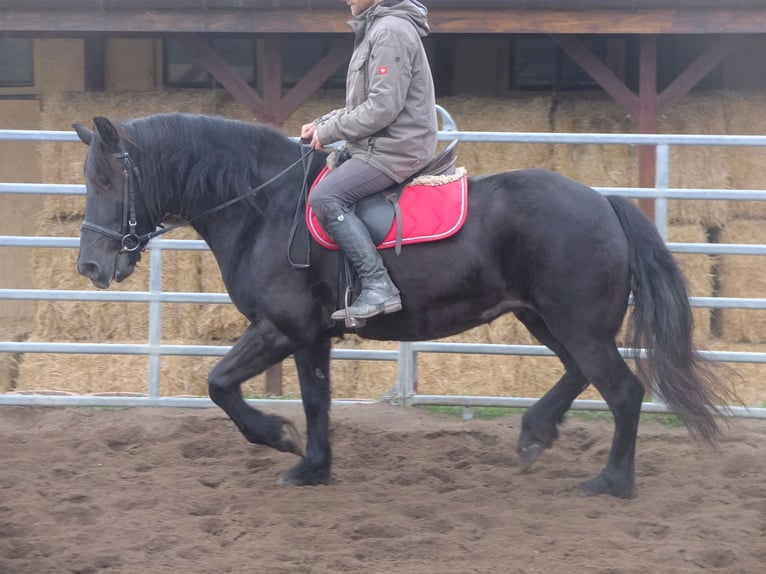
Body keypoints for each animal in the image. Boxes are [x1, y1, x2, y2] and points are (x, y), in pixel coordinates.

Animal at [72, 112, 732, 500]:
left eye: (105, 180)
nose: (91, 267)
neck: (267, 209)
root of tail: (605, 202)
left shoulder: (280, 327)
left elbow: (220, 384)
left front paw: (277, 436)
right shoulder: (311, 335)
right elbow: (315, 398)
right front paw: (312, 465)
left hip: (577, 323)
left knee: (622, 391)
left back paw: (611, 482)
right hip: (545, 318)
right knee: (580, 374)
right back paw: (535, 435)